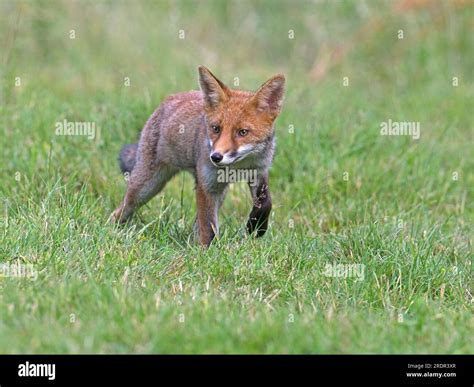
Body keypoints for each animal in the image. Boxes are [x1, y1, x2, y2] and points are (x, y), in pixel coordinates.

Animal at [111, 66, 286, 246]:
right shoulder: (208, 184)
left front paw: (256, 227)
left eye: (242, 132)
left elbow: (265, 203)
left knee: (198, 221)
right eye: (216, 128)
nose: (215, 157)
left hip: (219, 191)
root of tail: (169, 99)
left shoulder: (258, 171)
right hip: (147, 187)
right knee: (122, 209)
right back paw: (113, 229)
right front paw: (206, 250)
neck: (238, 166)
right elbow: (207, 227)